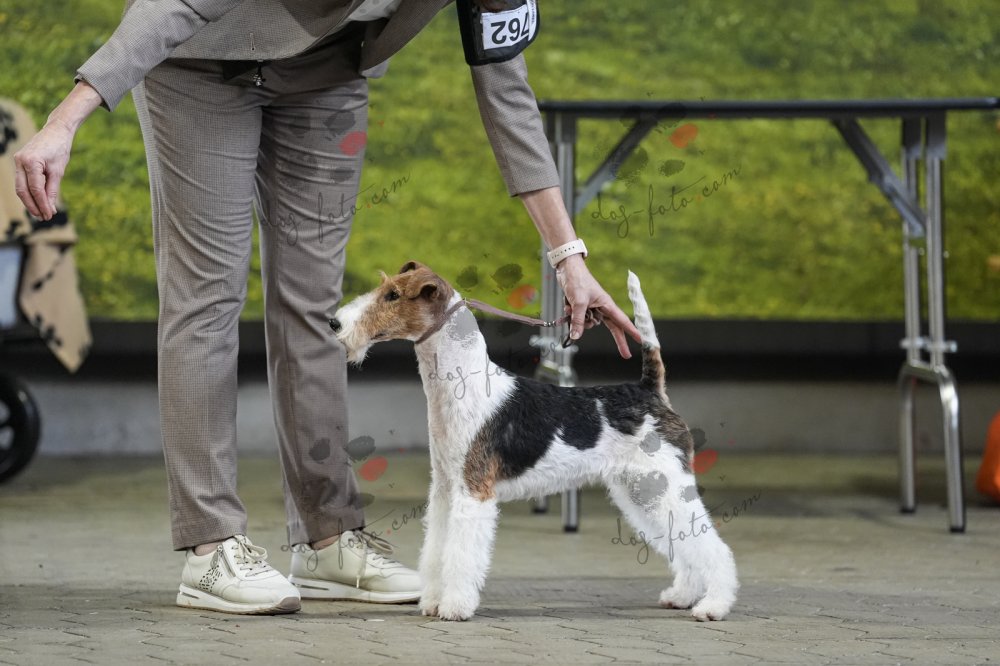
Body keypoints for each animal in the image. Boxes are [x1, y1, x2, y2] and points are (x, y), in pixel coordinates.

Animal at [330, 261, 738, 622]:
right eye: (384, 289)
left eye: (393, 295)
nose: (334, 323)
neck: (461, 384)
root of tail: (650, 391)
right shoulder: (445, 488)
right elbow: (436, 550)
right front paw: (431, 601)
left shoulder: (473, 491)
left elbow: (461, 555)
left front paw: (455, 607)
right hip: (642, 491)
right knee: (682, 540)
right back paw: (682, 595)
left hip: (666, 485)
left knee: (710, 546)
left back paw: (713, 606)